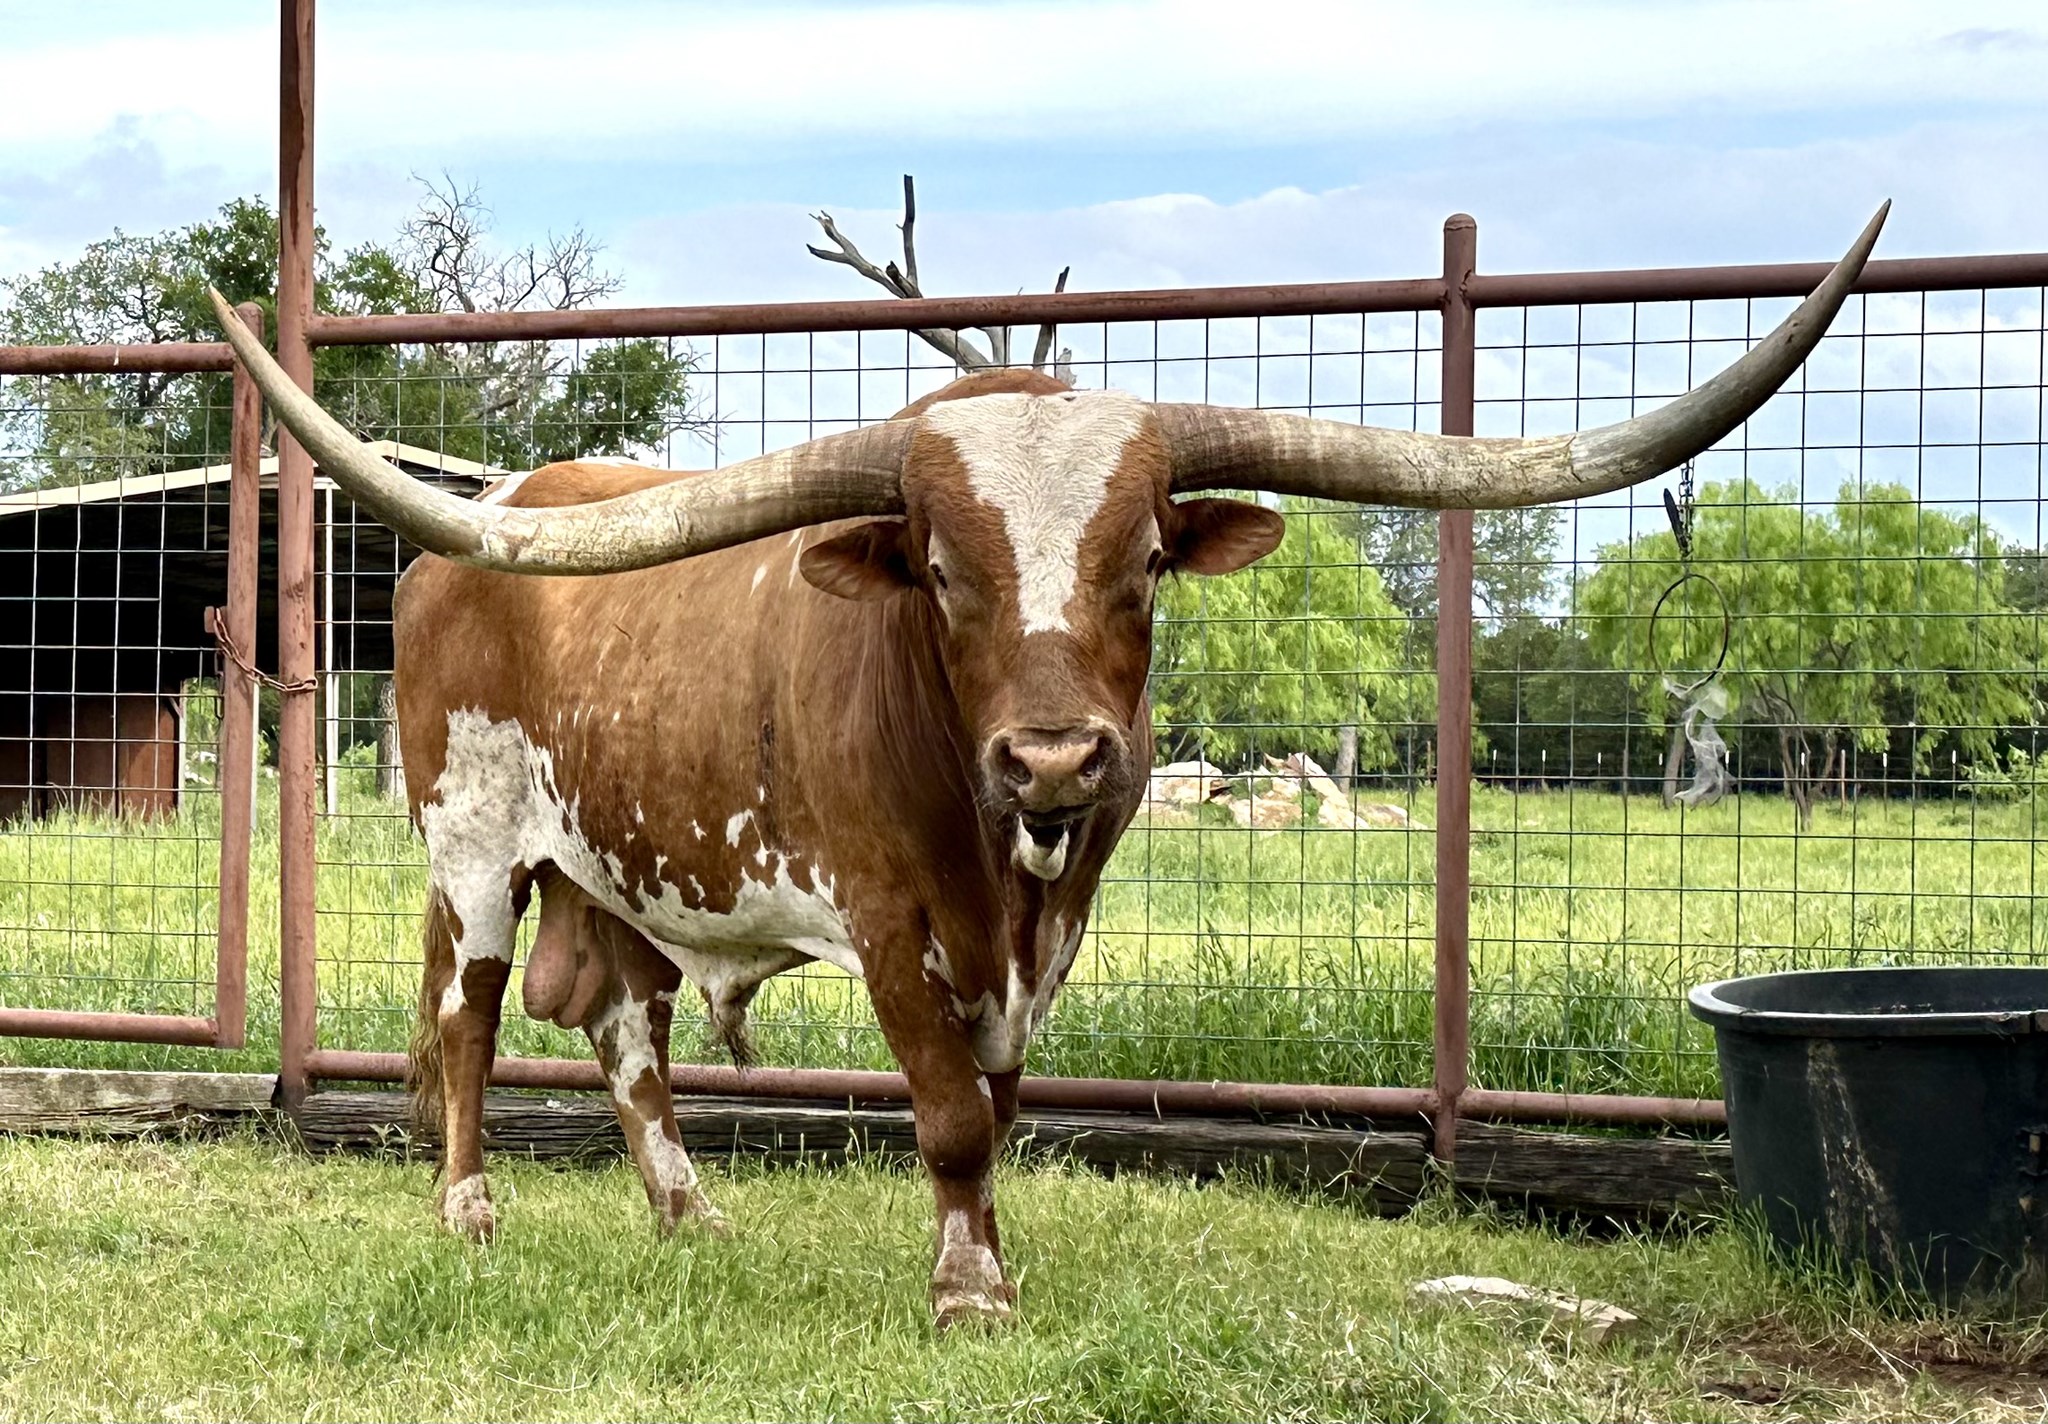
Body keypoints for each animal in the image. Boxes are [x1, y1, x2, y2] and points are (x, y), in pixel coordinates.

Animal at [209, 206, 1882, 1325]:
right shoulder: (888, 919)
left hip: (622, 871)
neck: (992, 849)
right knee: (471, 1017)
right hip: (475, 843)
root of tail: (476, 536)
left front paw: (983, 1251)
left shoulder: (1047, 932)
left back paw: (692, 1217)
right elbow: (947, 1110)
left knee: (628, 1030)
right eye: (943, 571)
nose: (1057, 754)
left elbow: (1000, 1108)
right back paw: (470, 1211)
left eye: (1143, 561)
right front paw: (970, 1294)